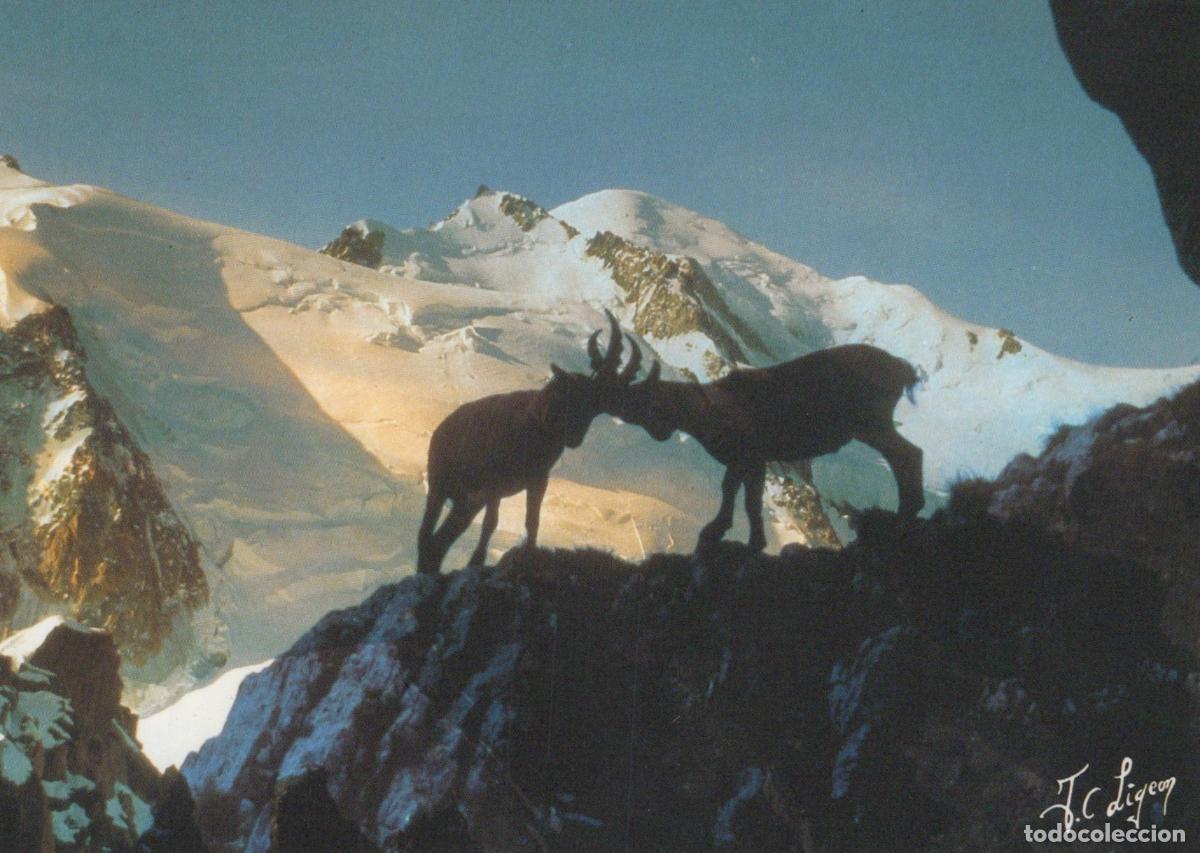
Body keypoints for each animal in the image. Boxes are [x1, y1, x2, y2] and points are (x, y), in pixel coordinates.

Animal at [417, 313, 640, 574]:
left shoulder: (537, 481)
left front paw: (529, 554)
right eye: (569, 395)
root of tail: (440, 431)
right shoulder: (494, 486)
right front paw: (476, 562)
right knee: (428, 537)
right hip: (441, 489)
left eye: (593, 407)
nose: (574, 437)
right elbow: (491, 523)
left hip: (464, 500)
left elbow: (532, 521)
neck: (532, 427)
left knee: (438, 541)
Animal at [601, 342, 924, 552]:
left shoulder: (752, 457)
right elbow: (735, 491)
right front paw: (724, 531)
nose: (618, 410)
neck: (709, 410)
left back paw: (905, 515)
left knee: (908, 454)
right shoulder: (743, 461)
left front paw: (743, 538)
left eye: (644, 401)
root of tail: (901, 367)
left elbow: (747, 499)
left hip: (871, 423)